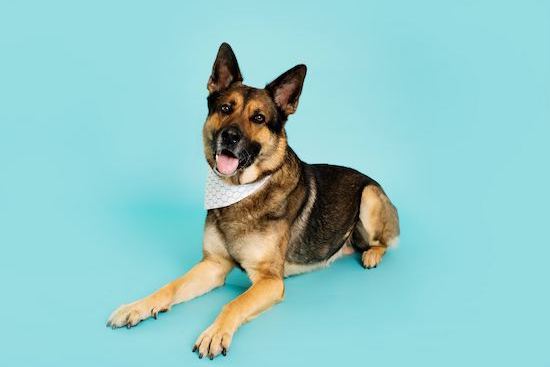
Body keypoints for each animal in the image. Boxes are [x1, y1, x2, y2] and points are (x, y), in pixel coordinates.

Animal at [108, 43, 402, 362]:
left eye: (258, 118)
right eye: (225, 109)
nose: (229, 136)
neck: (241, 191)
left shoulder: (270, 281)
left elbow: (233, 303)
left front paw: (215, 333)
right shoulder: (213, 265)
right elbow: (170, 286)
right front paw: (137, 306)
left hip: (369, 196)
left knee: (384, 241)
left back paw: (372, 254)